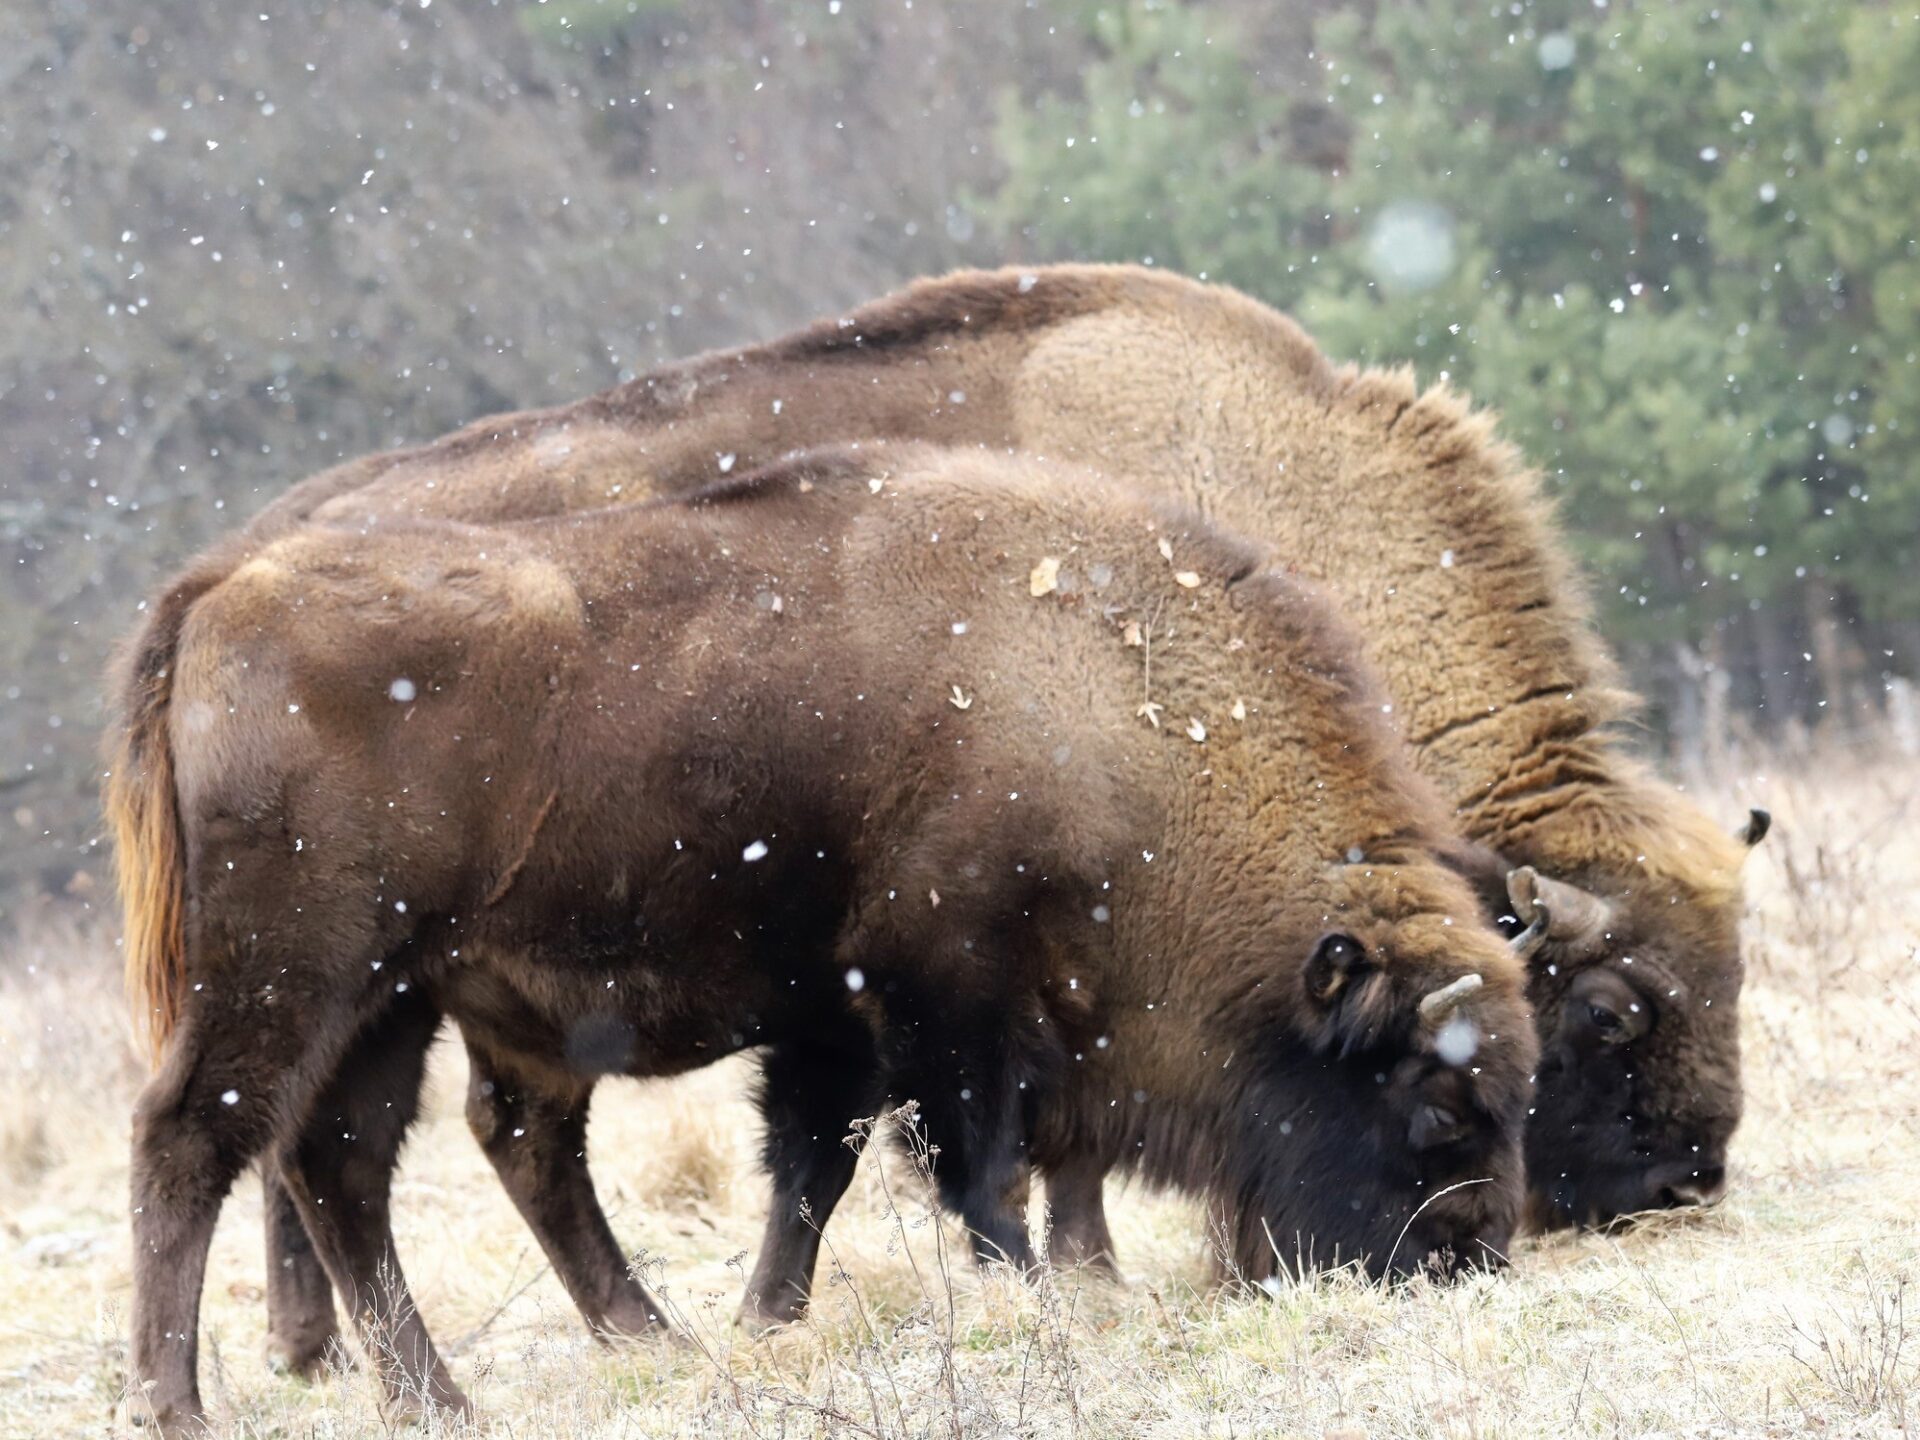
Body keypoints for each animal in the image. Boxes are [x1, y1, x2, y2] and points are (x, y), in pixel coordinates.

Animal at [112, 449, 1536, 1436]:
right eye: (1430, 1103)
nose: (1473, 1256)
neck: (1107, 706)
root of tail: (212, 597)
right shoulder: (945, 993)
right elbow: (973, 1165)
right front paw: (1030, 1297)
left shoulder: (832, 1016)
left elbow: (814, 1166)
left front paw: (764, 1322)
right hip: (292, 978)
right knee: (197, 1139)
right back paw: (182, 1405)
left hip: (396, 998)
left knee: (366, 1164)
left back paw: (509, 1381)